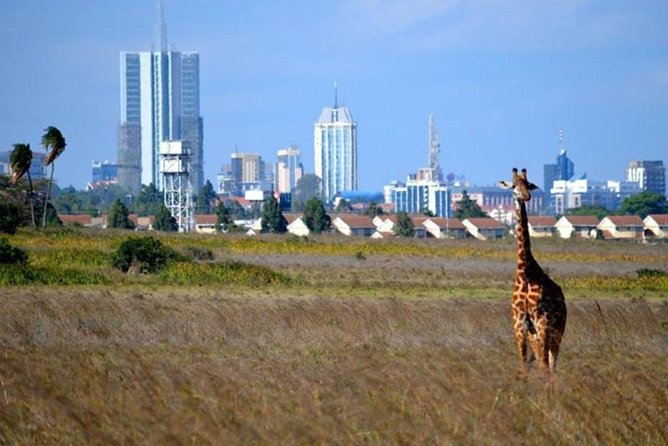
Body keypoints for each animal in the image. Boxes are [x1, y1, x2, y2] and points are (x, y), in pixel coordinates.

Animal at [499, 168, 567, 374]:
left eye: (528, 185)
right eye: (513, 185)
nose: (526, 196)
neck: (524, 273)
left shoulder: (541, 322)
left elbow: (544, 366)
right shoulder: (519, 326)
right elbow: (523, 366)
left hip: (556, 331)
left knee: (550, 364)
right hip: (535, 334)